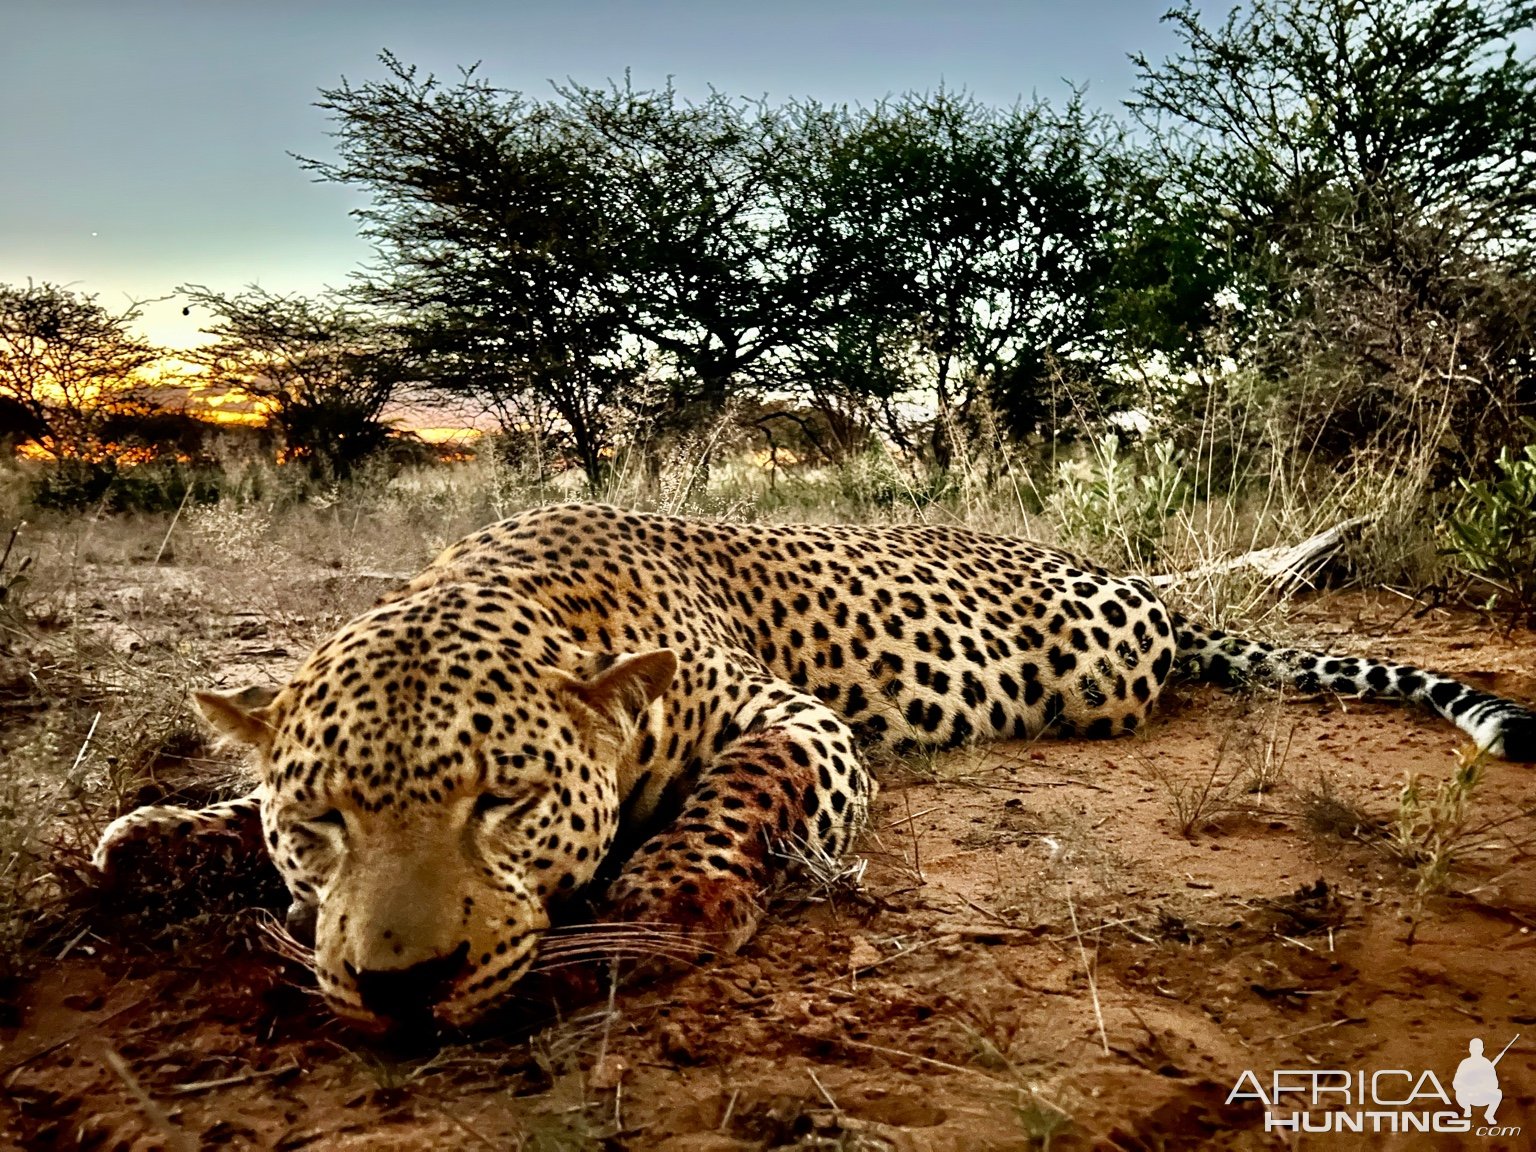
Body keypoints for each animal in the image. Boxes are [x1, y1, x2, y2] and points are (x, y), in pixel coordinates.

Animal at [92, 503, 1536, 1038]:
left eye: (505, 804)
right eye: (321, 820)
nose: (402, 988)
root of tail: (1142, 593)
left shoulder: (791, 719)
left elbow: (743, 788)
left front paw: (666, 899)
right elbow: (225, 810)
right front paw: (156, 837)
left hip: (1096, 669)